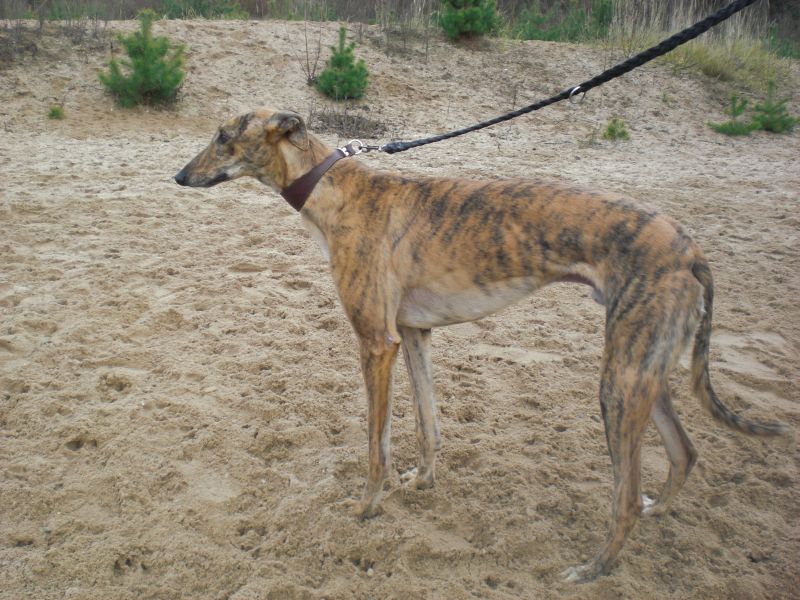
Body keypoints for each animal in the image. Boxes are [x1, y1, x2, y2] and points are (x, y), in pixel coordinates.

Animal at [174, 108, 788, 582]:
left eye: (224, 136)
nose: (178, 177)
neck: (336, 191)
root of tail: (691, 249)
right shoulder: (412, 335)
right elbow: (428, 423)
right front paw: (422, 482)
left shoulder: (375, 342)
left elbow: (377, 446)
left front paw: (368, 507)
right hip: (643, 367)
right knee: (683, 452)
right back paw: (656, 511)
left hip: (620, 380)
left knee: (625, 496)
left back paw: (592, 570)